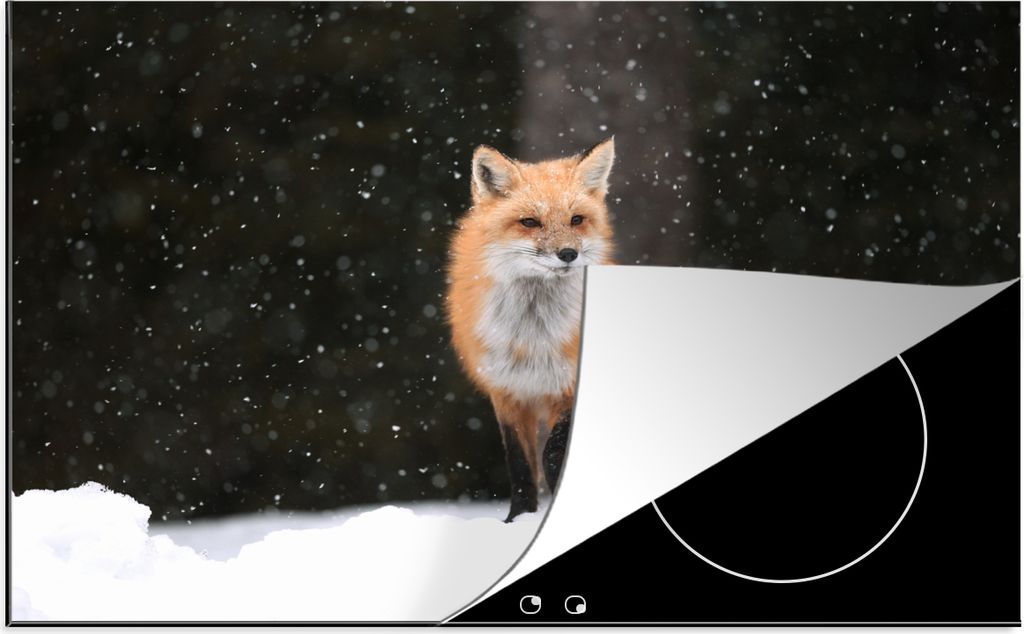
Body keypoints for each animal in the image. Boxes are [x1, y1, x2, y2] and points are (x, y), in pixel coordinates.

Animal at [445, 138, 616, 522]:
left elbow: (553, 451)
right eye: (530, 222)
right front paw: (518, 519)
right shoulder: (508, 391)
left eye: (576, 220)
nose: (567, 253)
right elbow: (520, 463)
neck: (533, 338)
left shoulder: (565, 385)